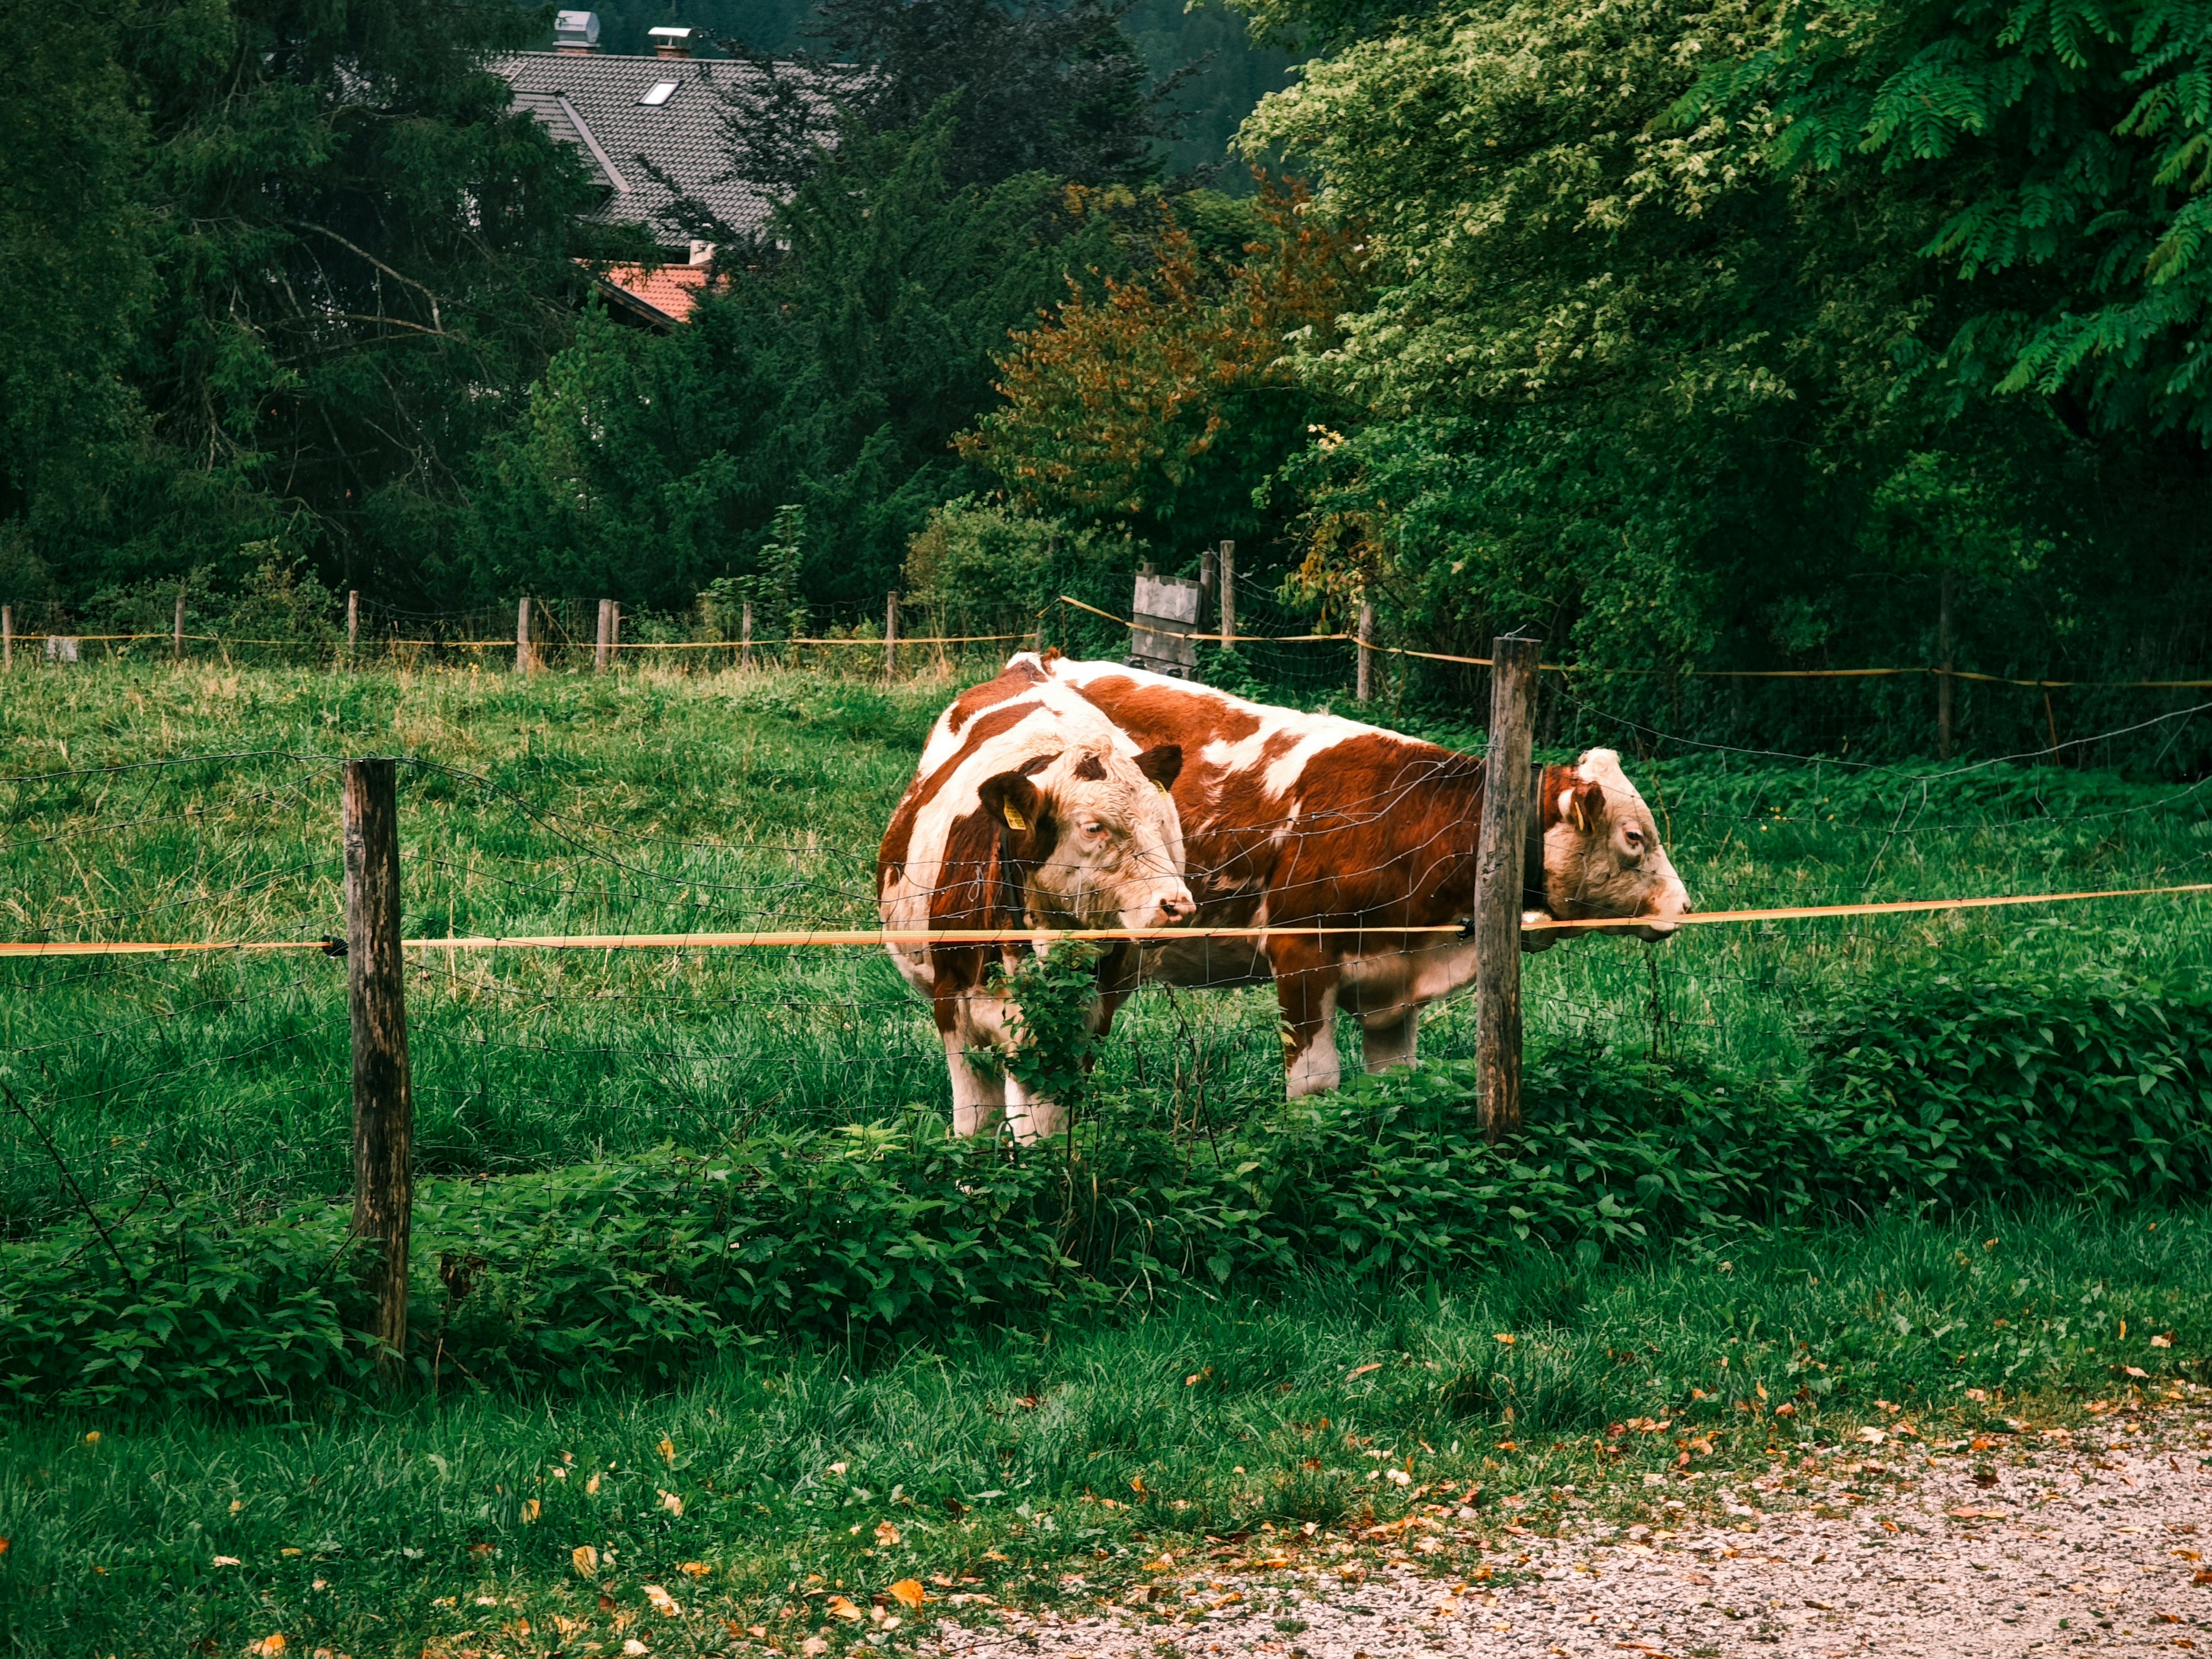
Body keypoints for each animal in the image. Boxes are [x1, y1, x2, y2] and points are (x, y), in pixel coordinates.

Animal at [878, 657, 1194, 1138]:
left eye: (1162, 822)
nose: (1177, 906)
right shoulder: (954, 1009)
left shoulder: (1082, 1023)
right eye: (1092, 827)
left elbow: (1042, 1132)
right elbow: (975, 1126)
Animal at [1035, 653, 1691, 1097]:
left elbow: (1394, 1082)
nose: (1682, 906)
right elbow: (1315, 1084)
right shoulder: (1300, 954)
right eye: (1634, 837)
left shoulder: (1394, 978)